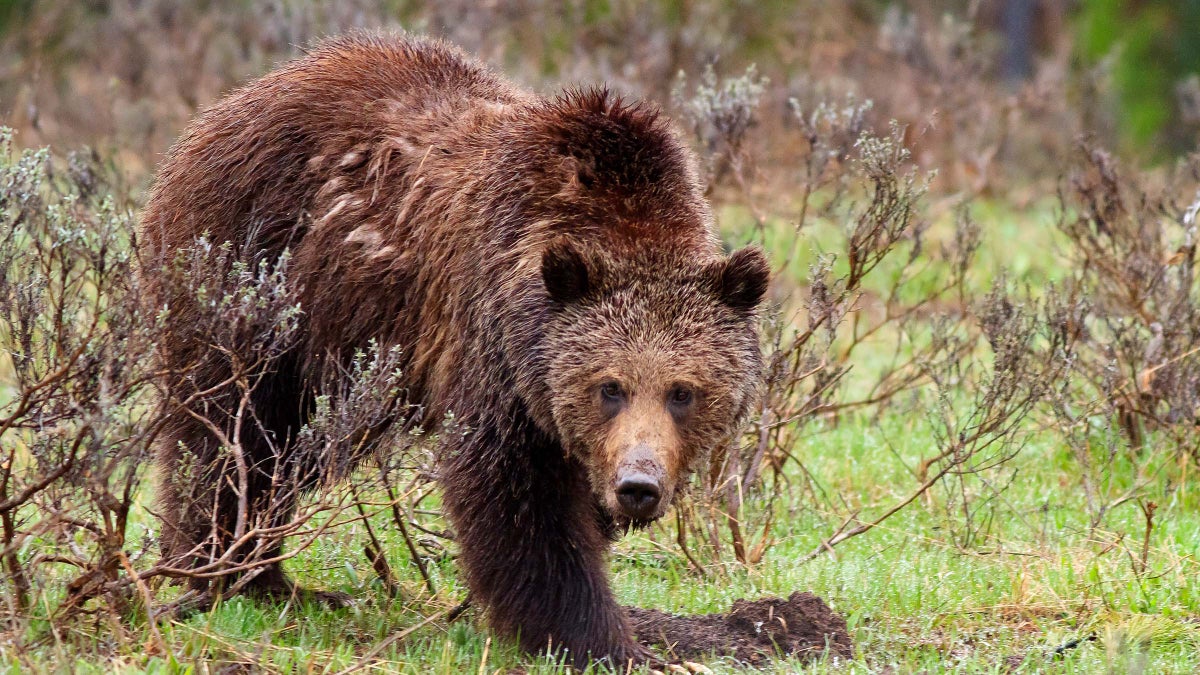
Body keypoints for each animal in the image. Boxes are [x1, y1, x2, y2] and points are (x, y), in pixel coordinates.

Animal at [140, 30, 772, 662]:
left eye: (683, 392)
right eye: (609, 387)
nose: (638, 485)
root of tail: (219, 112)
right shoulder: (496, 350)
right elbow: (519, 504)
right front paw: (597, 638)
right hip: (258, 278)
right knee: (233, 434)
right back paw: (236, 573)